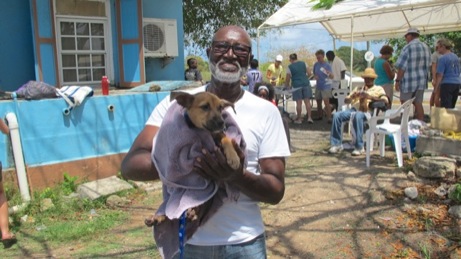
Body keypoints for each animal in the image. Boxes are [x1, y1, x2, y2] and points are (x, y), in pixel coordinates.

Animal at [146, 91, 243, 228]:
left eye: (220, 108)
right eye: (205, 107)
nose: (222, 123)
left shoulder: (219, 134)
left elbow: (227, 139)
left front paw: (233, 157)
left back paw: (191, 212)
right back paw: (157, 217)